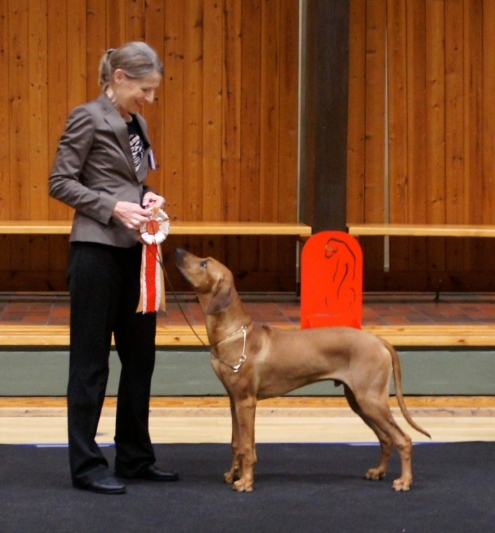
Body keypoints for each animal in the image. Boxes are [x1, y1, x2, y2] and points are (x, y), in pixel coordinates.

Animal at [174, 248, 430, 490]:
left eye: (204, 263)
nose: (177, 250)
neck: (234, 333)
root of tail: (379, 340)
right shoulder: (233, 400)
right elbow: (236, 442)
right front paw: (233, 475)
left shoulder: (246, 401)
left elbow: (247, 446)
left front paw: (245, 482)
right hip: (359, 401)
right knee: (386, 439)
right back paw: (378, 472)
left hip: (371, 400)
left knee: (404, 439)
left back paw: (405, 481)